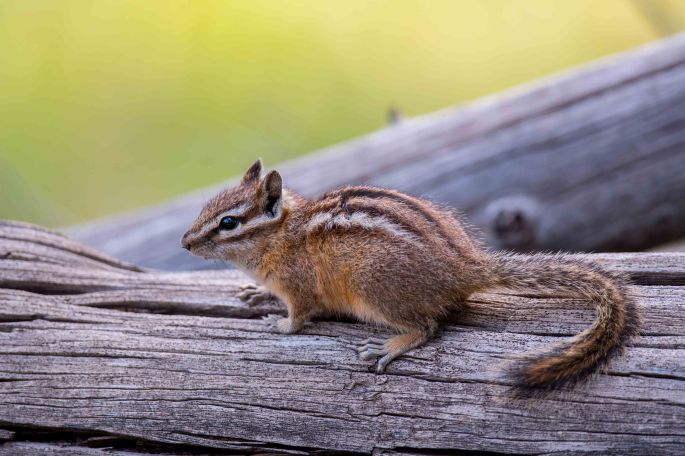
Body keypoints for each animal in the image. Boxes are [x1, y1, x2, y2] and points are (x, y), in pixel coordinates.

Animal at [181, 159, 640, 389]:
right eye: (209, 206)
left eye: (228, 222)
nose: (184, 243)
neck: (281, 234)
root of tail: (463, 268)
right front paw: (255, 295)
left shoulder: (298, 288)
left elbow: (298, 319)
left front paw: (276, 324)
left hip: (372, 286)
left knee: (428, 327)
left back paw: (391, 346)